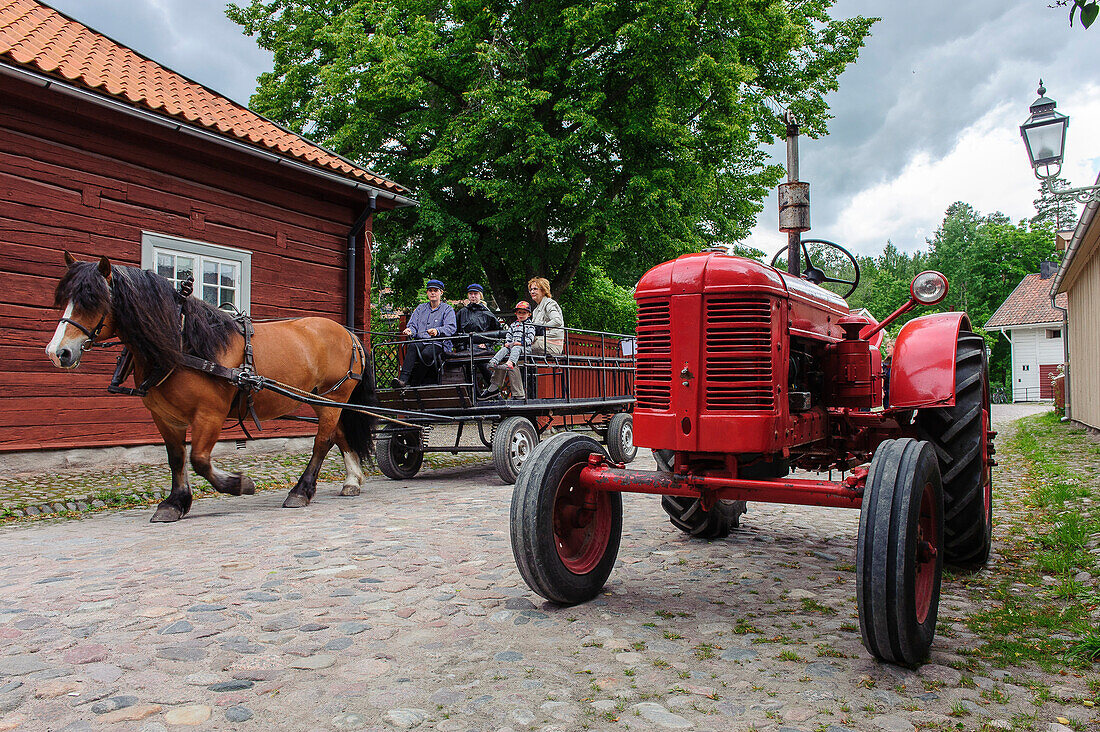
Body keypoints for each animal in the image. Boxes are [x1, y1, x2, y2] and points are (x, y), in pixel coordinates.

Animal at [47, 250, 378, 519]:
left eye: (92, 300)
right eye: (65, 300)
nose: (57, 352)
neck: (184, 343)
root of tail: (349, 333)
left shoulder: (210, 414)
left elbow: (199, 460)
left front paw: (239, 483)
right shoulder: (165, 417)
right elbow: (177, 458)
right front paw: (175, 502)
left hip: (333, 396)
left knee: (322, 441)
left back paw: (301, 490)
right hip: (322, 400)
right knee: (338, 434)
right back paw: (352, 480)